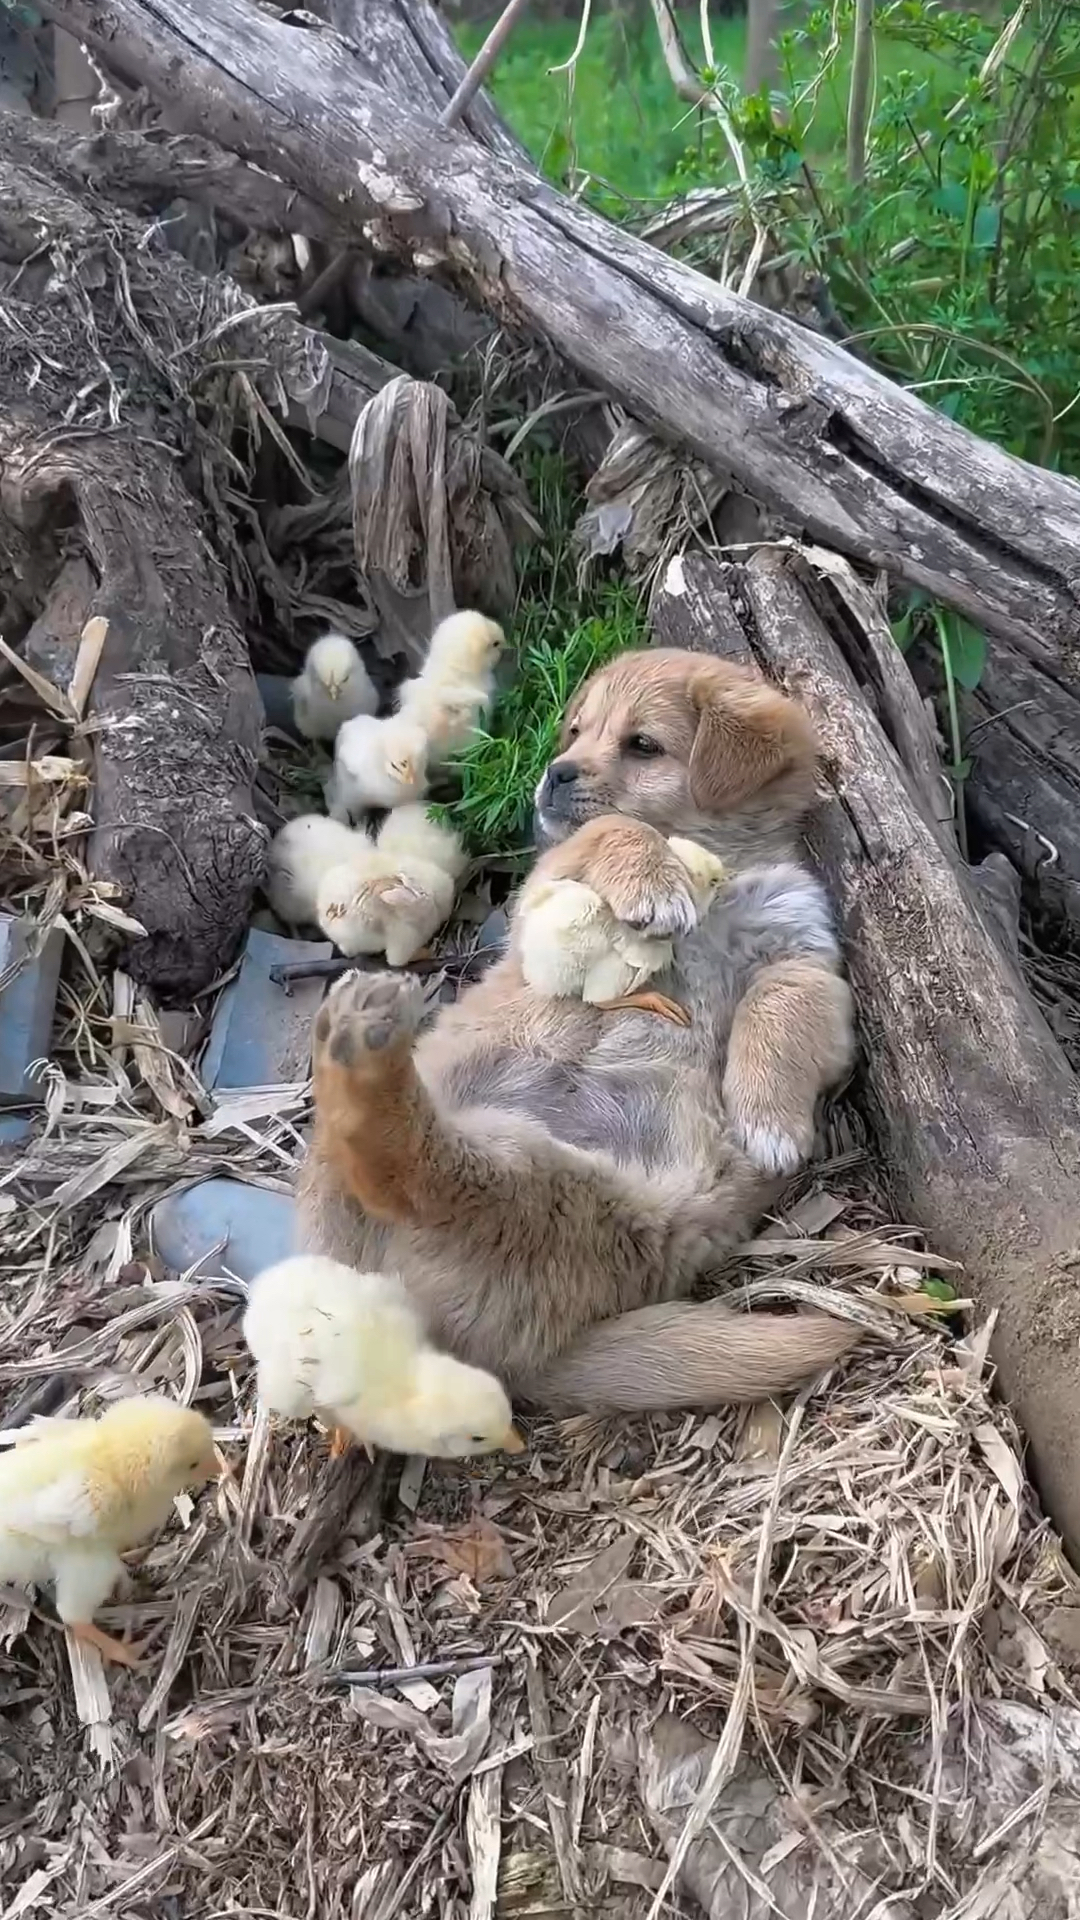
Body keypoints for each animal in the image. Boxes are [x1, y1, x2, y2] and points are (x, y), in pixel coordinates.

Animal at [299, 645, 857, 1413]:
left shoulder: (805, 952)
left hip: (570, 1200)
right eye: (577, 733)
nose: (553, 774)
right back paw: (359, 1040)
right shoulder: (545, 890)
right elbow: (614, 830)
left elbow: (784, 1004)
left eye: (642, 744)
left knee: (415, 1177)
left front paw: (769, 1119)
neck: (716, 866)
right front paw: (652, 879)